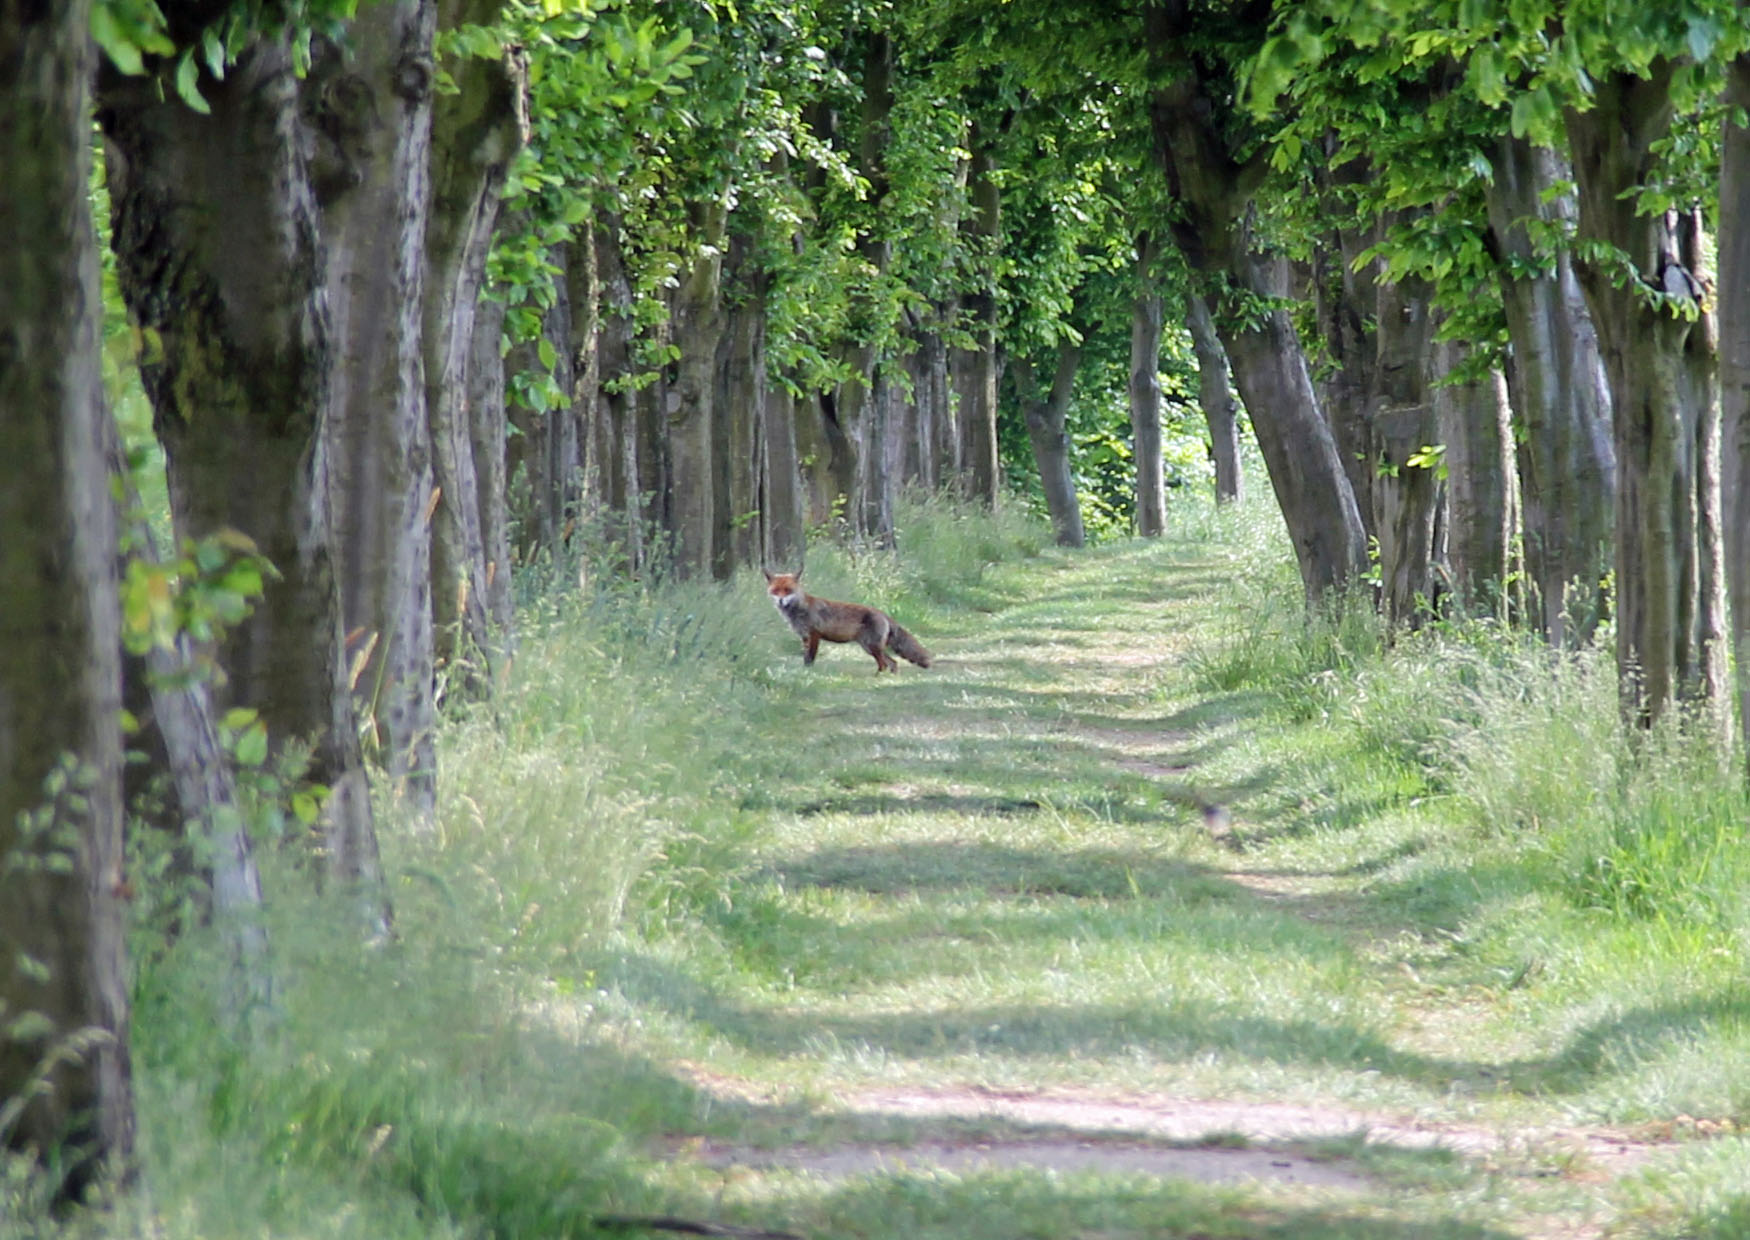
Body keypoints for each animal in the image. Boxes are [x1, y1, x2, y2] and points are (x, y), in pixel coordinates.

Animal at [763, 573, 931, 678]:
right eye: (776, 591)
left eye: (788, 590)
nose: (781, 601)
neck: (800, 609)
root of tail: (882, 612)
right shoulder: (804, 637)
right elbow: (806, 659)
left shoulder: (814, 635)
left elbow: (810, 659)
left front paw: (809, 674)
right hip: (869, 647)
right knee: (893, 663)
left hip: (872, 647)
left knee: (884, 664)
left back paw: (876, 678)